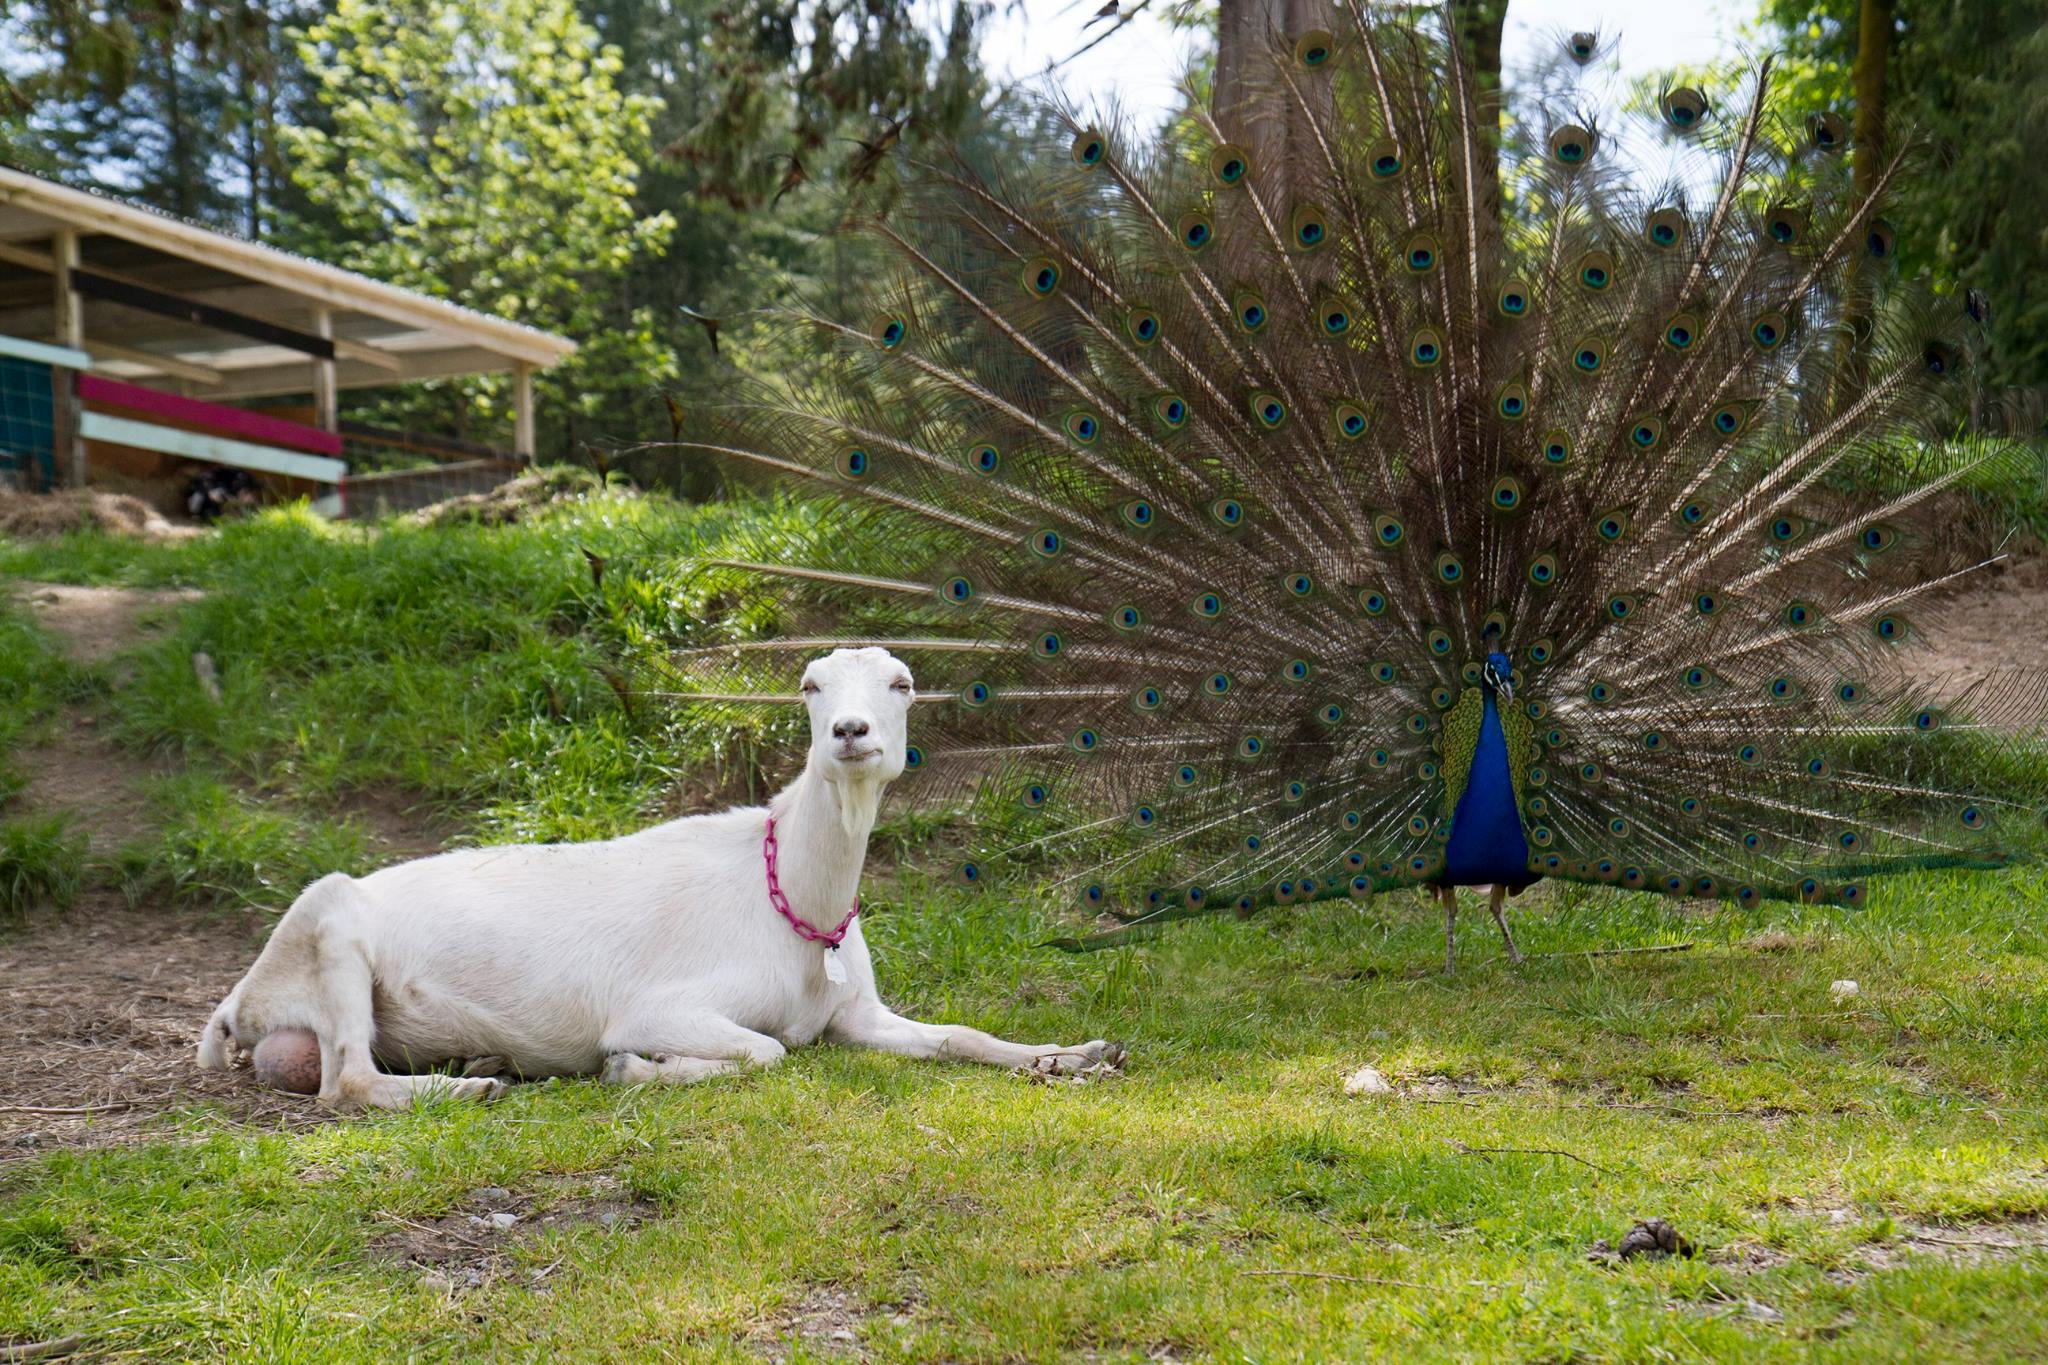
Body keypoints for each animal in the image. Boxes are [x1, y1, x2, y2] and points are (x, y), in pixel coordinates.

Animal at [195, 642, 1122, 1113]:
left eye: (902, 683)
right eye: (809, 684)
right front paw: (633, 1069)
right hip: (332, 924)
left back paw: (478, 1060)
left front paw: (1072, 1056)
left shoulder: (855, 1013)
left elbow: (962, 1035)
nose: (851, 732)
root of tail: (241, 1000)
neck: (792, 900)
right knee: (343, 1081)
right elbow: (763, 1050)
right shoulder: (658, 1004)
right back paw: (473, 1085)